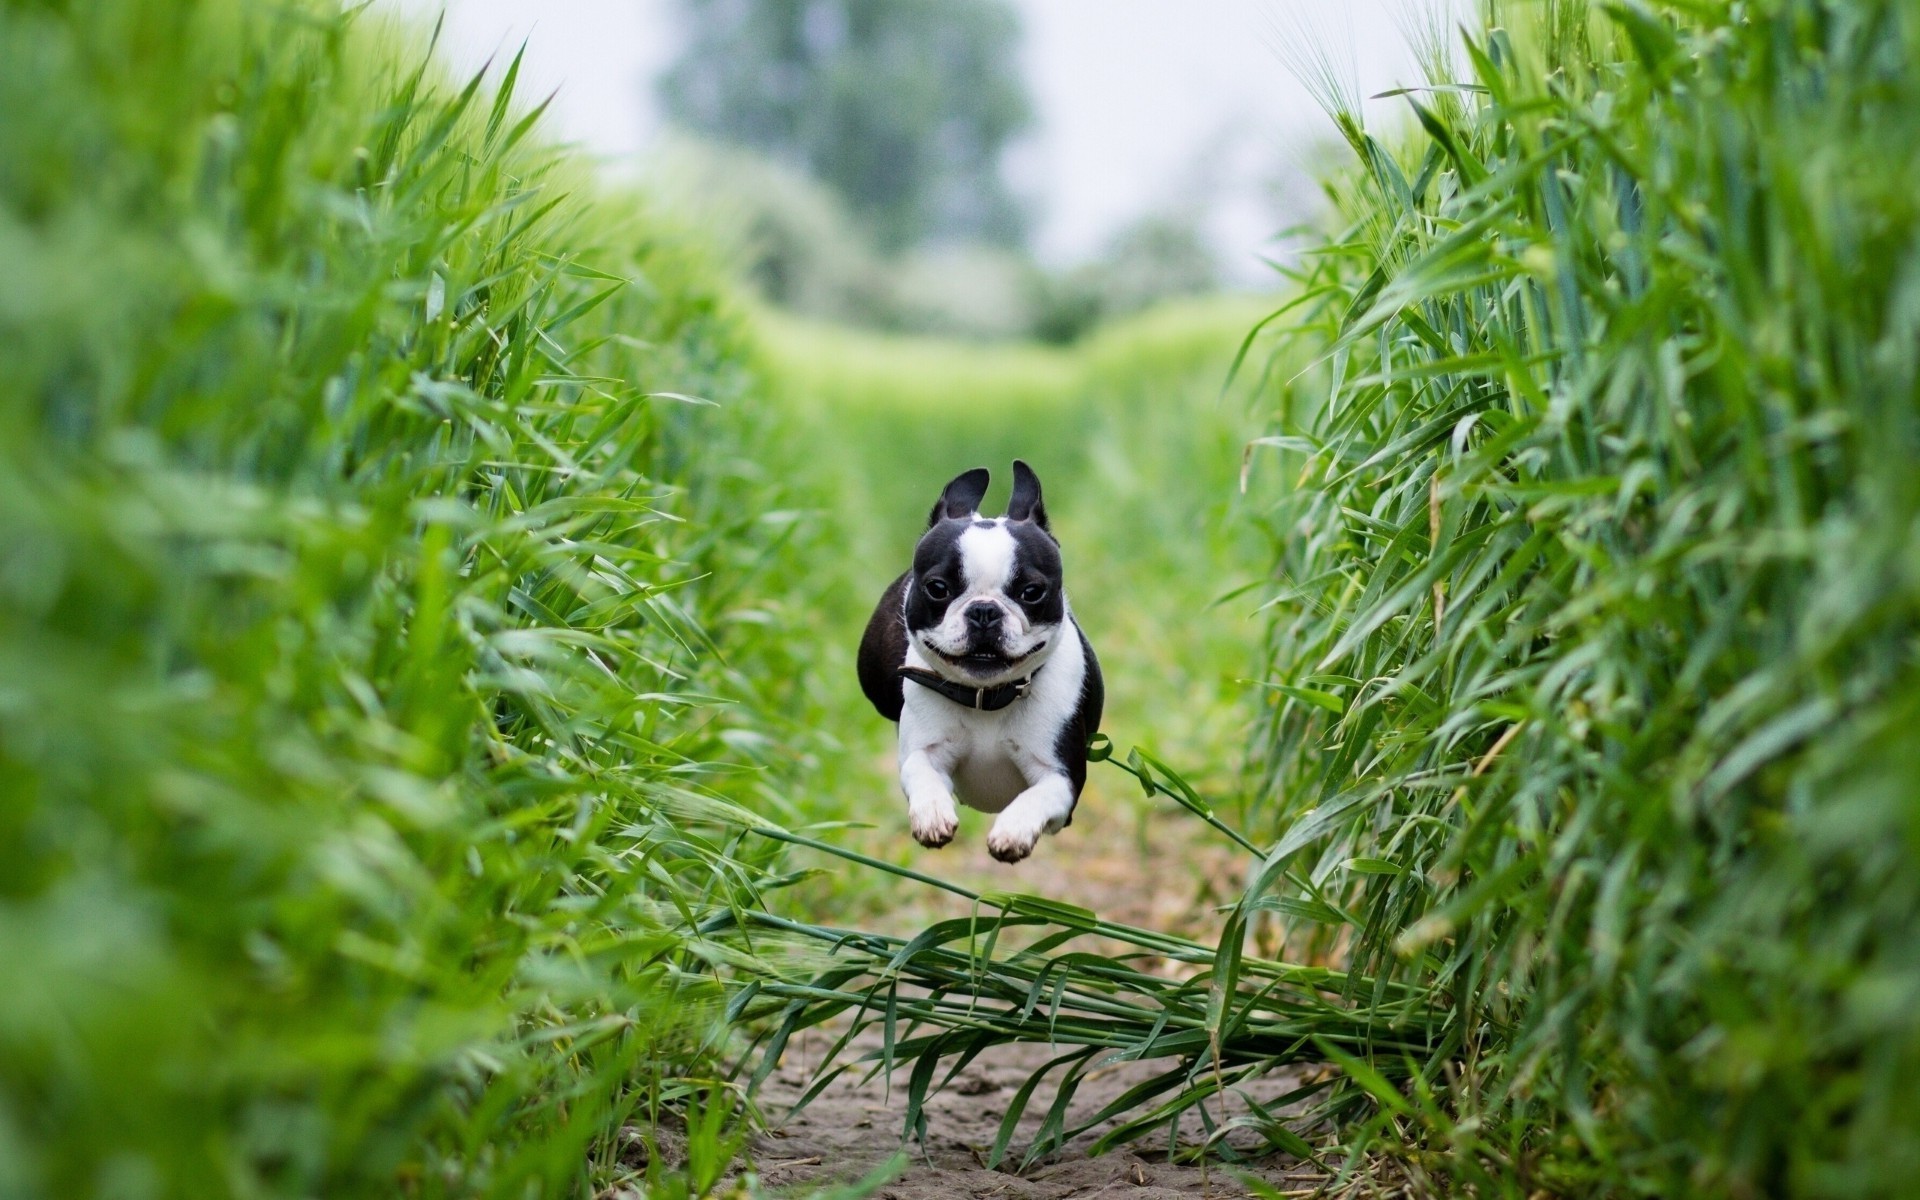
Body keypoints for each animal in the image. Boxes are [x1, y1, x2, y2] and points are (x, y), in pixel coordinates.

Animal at [860, 458, 1105, 860]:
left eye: (1032, 592)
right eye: (937, 588)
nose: (984, 611)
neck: (987, 697)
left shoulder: (1063, 777)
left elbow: (1037, 796)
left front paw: (1013, 831)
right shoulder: (924, 751)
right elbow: (923, 773)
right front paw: (931, 815)